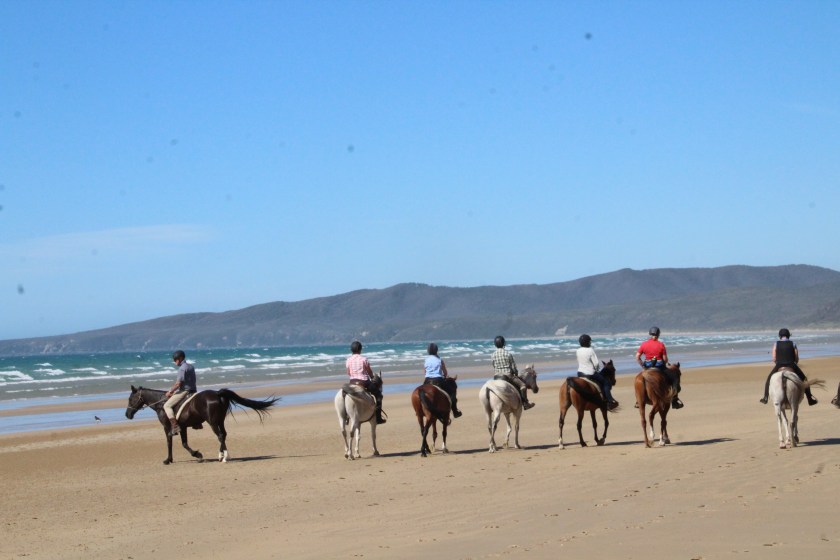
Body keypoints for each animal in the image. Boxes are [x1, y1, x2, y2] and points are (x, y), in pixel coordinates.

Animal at [125, 385, 279, 464]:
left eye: (130, 399)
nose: (127, 415)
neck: (161, 404)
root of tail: (217, 393)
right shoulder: (183, 427)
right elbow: (184, 443)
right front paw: (195, 454)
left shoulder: (167, 427)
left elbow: (170, 443)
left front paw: (170, 459)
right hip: (220, 420)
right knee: (224, 435)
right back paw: (222, 455)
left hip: (213, 422)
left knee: (220, 435)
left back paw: (224, 457)